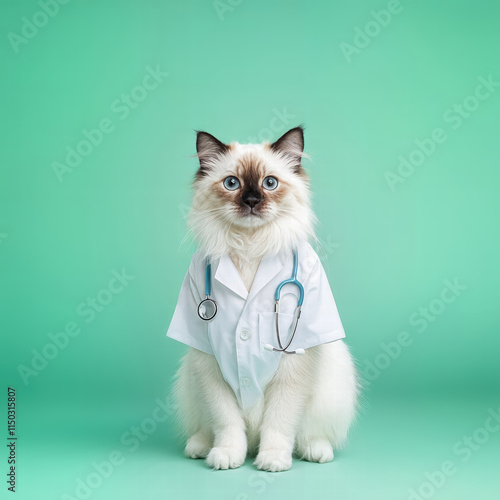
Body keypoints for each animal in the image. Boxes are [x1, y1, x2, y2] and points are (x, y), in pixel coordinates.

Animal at [169, 127, 360, 470]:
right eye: (232, 183)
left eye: (270, 183)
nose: (252, 200)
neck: (250, 246)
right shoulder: (210, 365)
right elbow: (226, 422)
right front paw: (228, 455)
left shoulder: (294, 369)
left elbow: (279, 422)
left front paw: (273, 459)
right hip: (192, 380)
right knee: (205, 428)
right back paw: (200, 447)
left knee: (310, 434)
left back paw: (315, 451)